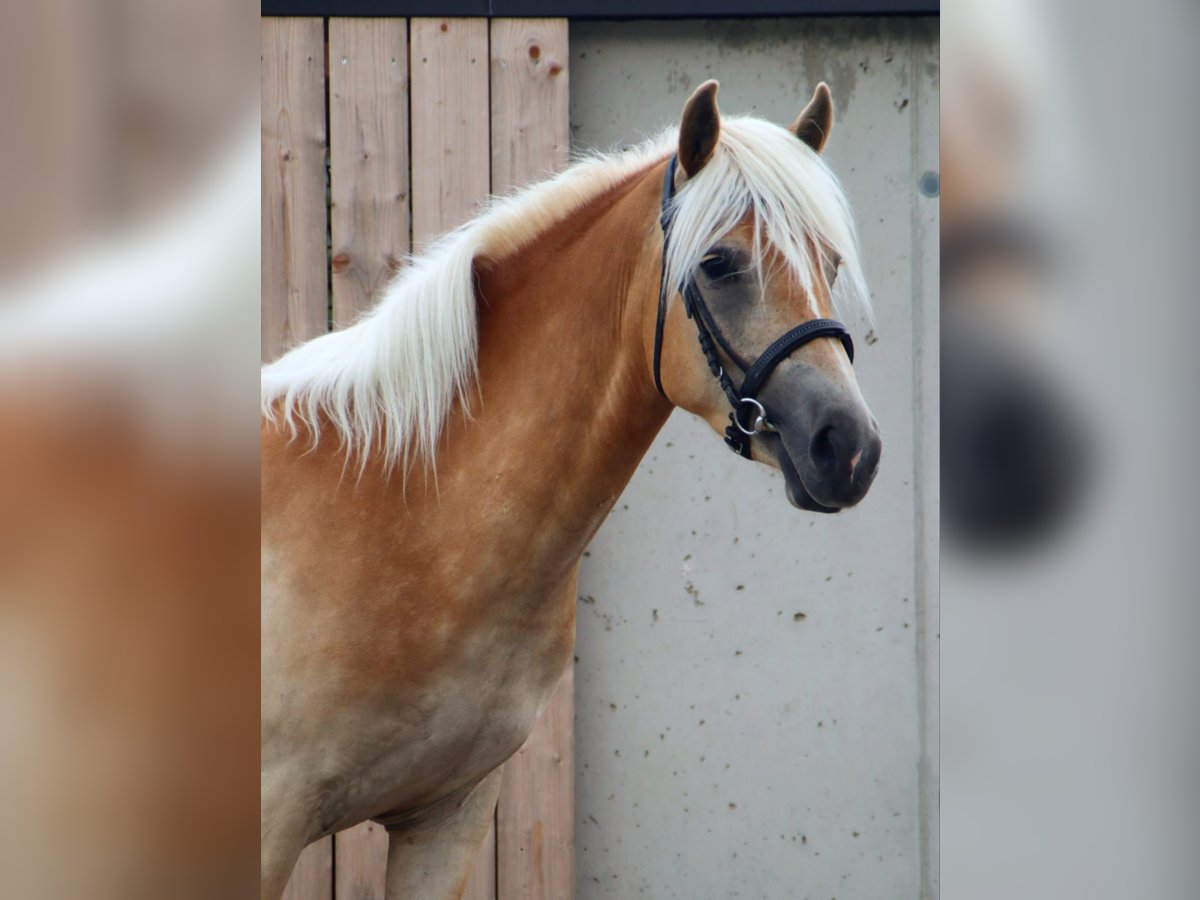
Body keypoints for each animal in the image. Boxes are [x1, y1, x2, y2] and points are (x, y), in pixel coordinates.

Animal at [262, 81, 883, 897]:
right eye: (718, 263)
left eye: (830, 263)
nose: (849, 448)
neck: (401, 513)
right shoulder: (270, 822)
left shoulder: (446, 818)